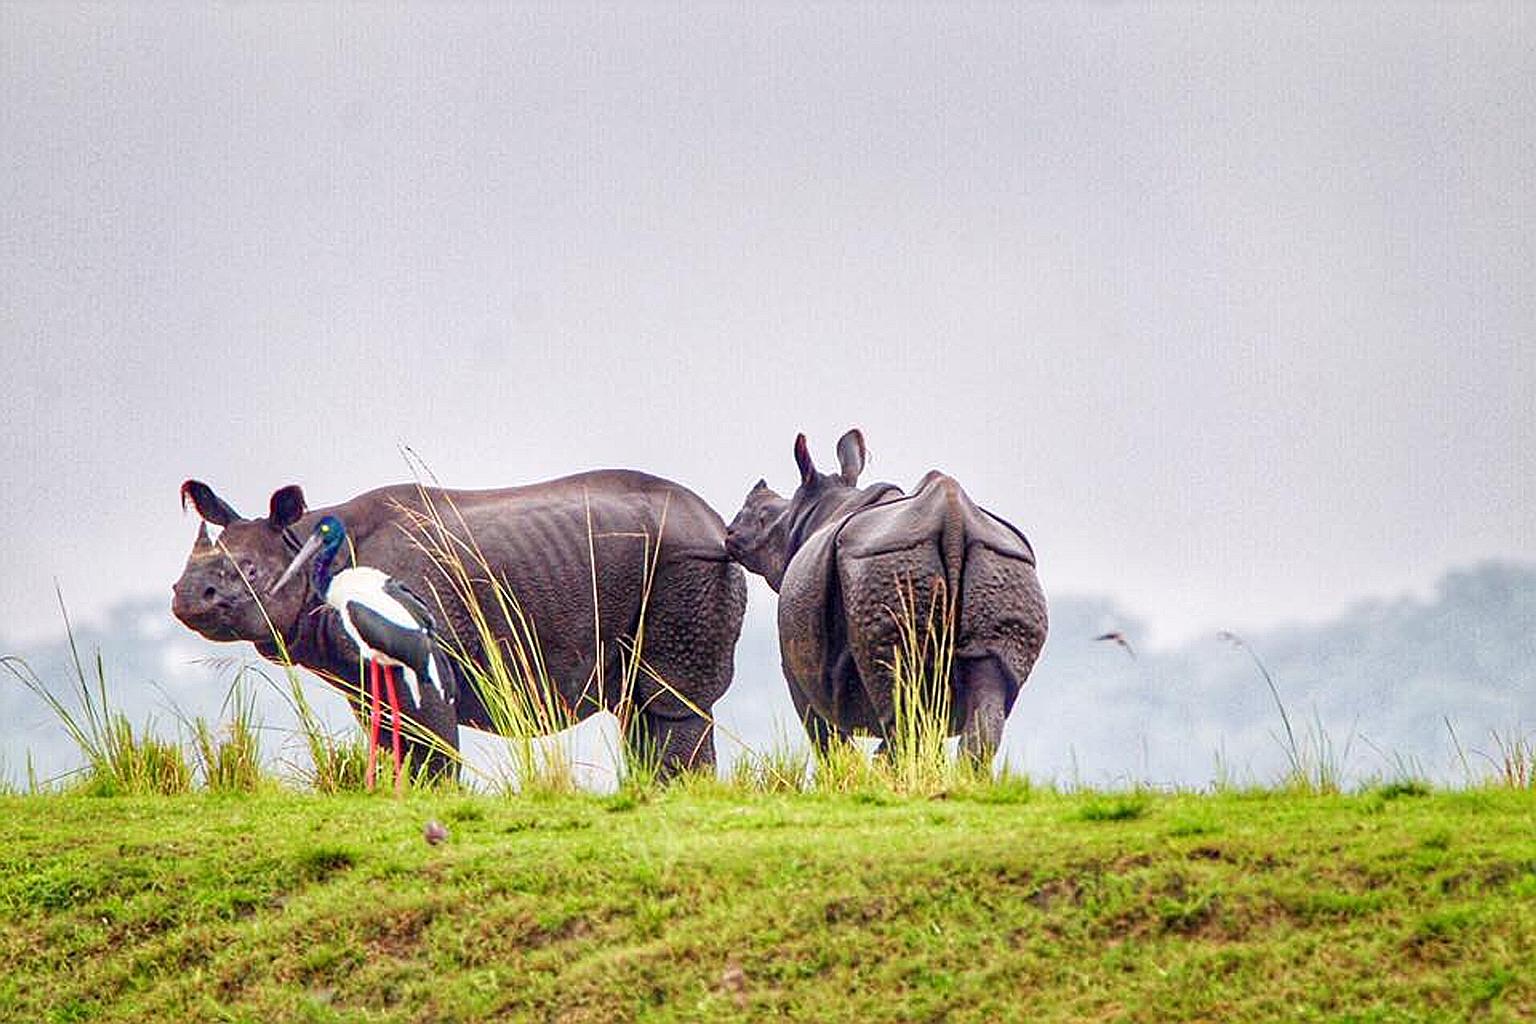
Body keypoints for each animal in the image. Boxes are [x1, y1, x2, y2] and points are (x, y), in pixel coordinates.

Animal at [172, 471, 747, 780]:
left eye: (249, 572)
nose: (187, 597)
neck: (303, 544)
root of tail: (716, 522)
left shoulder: (425, 655)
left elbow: (428, 740)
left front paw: (437, 798)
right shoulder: (359, 673)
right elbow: (391, 735)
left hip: (683, 562)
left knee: (669, 700)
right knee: (638, 707)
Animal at [725, 429, 1047, 764]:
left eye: (763, 518)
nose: (730, 532)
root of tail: (954, 518)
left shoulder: (796, 669)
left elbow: (824, 733)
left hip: (887, 564)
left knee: (896, 693)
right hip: (1002, 565)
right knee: (984, 694)